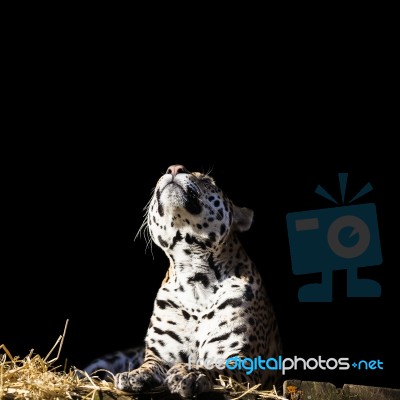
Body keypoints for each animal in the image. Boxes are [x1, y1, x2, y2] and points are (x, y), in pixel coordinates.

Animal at [84, 165, 282, 396]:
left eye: (206, 180)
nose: (175, 168)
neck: (195, 278)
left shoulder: (244, 361)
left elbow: (216, 369)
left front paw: (189, 374)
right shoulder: (160, 355)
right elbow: (150, 365)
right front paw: (134, 375)